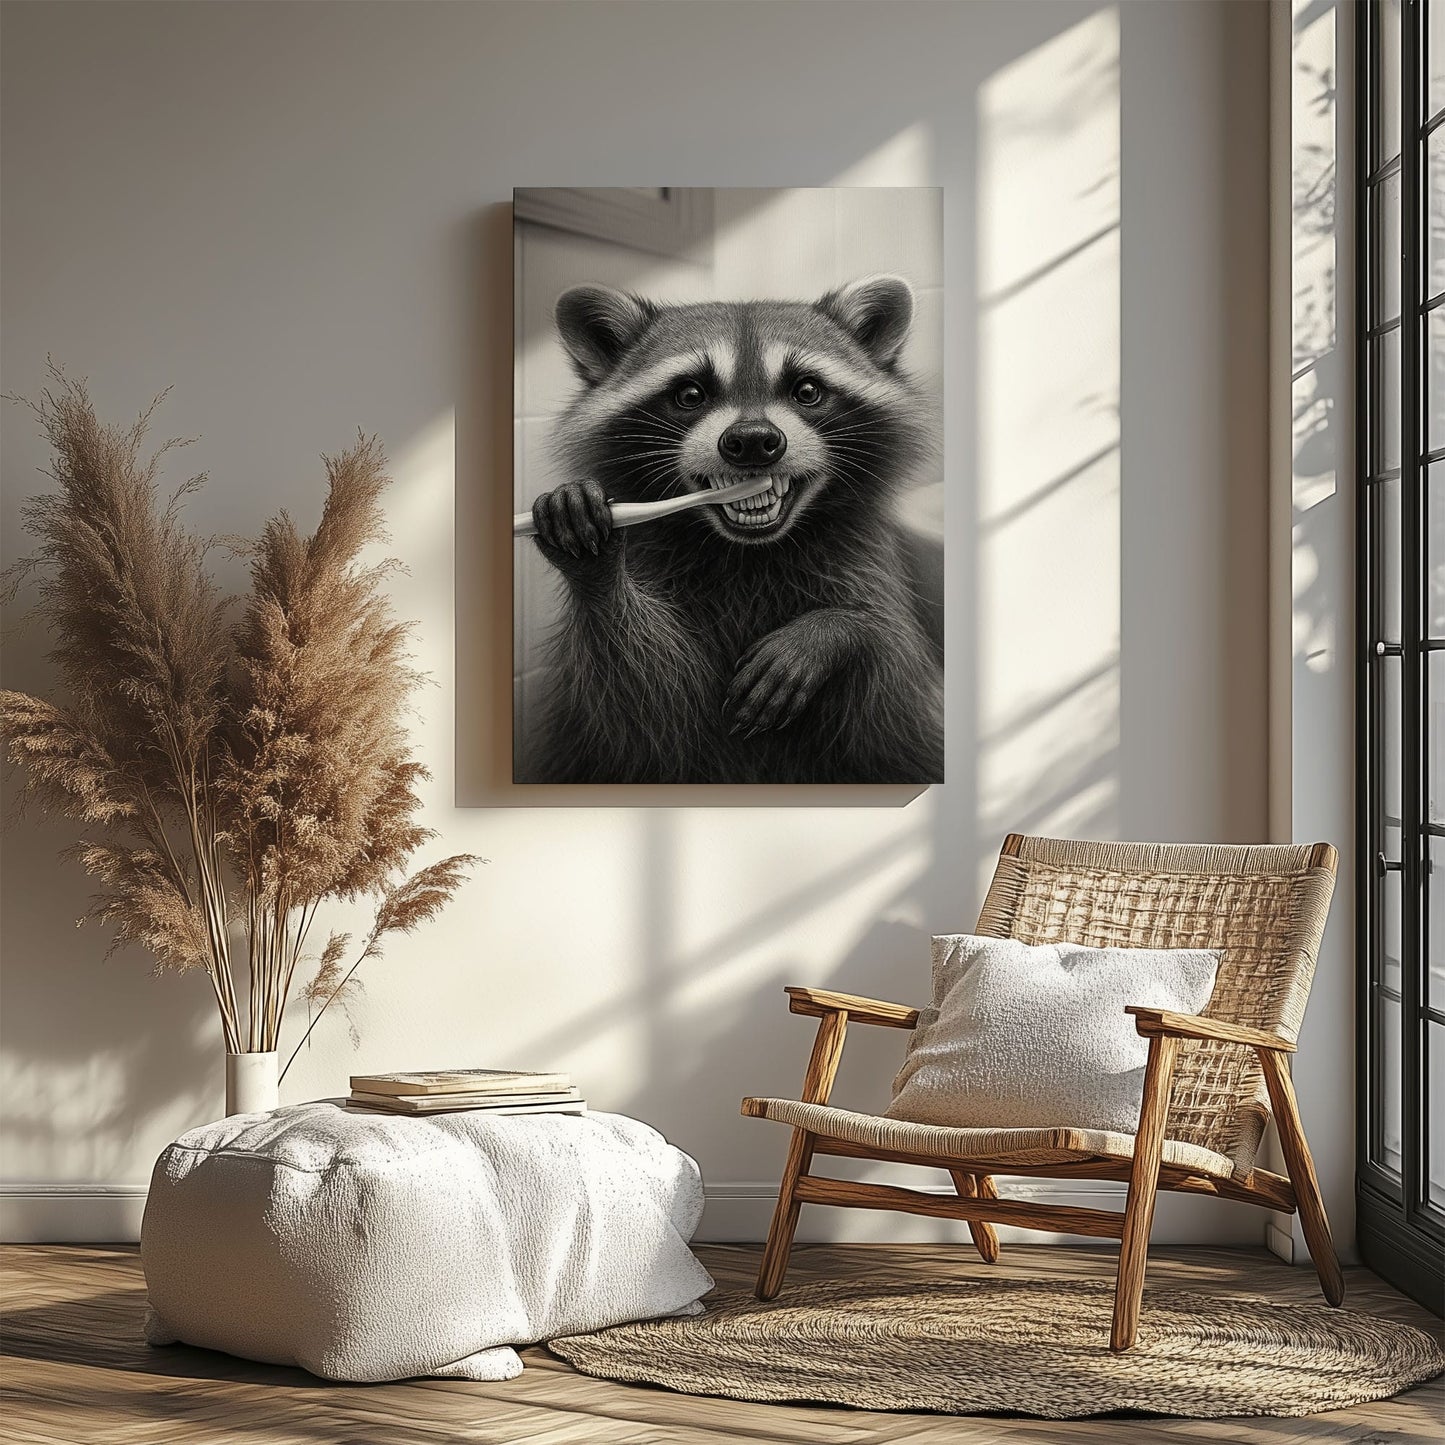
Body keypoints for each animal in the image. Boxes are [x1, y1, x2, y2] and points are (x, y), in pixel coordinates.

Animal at [522, 275, 943, 784]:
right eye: (690, 395)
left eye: (807, 390)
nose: (754, 441)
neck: (748, 551)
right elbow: (648, 708)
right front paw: (597, 572)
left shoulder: (865, 564)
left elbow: (894, 695)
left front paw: (838, 630)